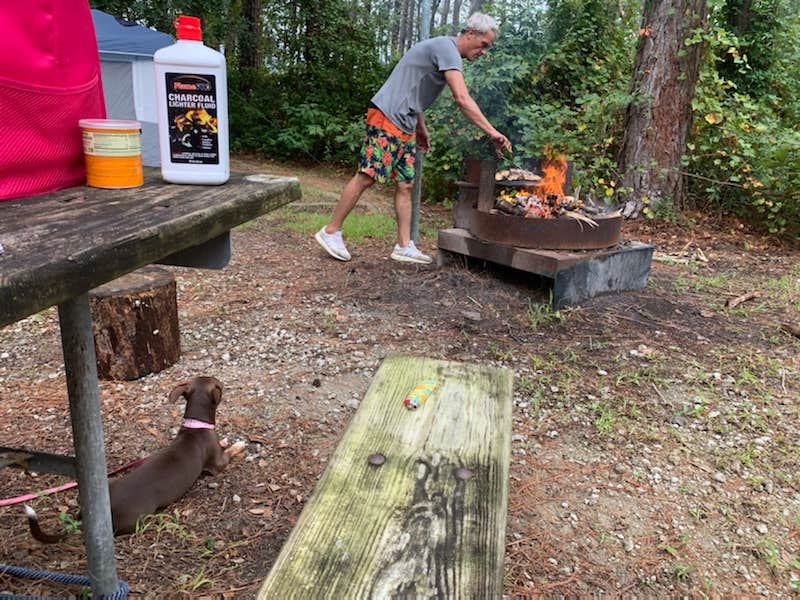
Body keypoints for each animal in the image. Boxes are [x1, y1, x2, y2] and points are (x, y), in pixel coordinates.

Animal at [27, 376, 241, 540]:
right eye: (219, 385)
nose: (223, 383)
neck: (195, 425)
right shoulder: (217, 465)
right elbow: (230, 452)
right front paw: (239, 445)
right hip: (140, 518)